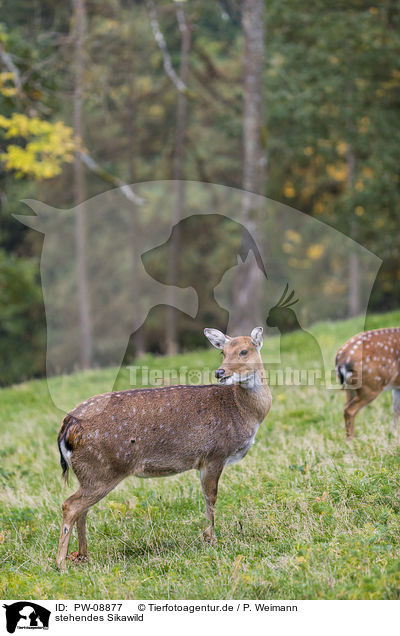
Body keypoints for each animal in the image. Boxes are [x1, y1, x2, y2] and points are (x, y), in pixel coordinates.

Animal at [56, 326, 272, 568]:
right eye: (222, 352)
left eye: (244, 351)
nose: (220, 372)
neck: (244, 413)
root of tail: (68, 426)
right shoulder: (214, 453)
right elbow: (211, 497)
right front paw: (210, 539)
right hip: (102, 469)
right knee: (70, 505)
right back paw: (61, 563)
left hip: (88, 473)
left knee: (82, 509)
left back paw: (83, 556)